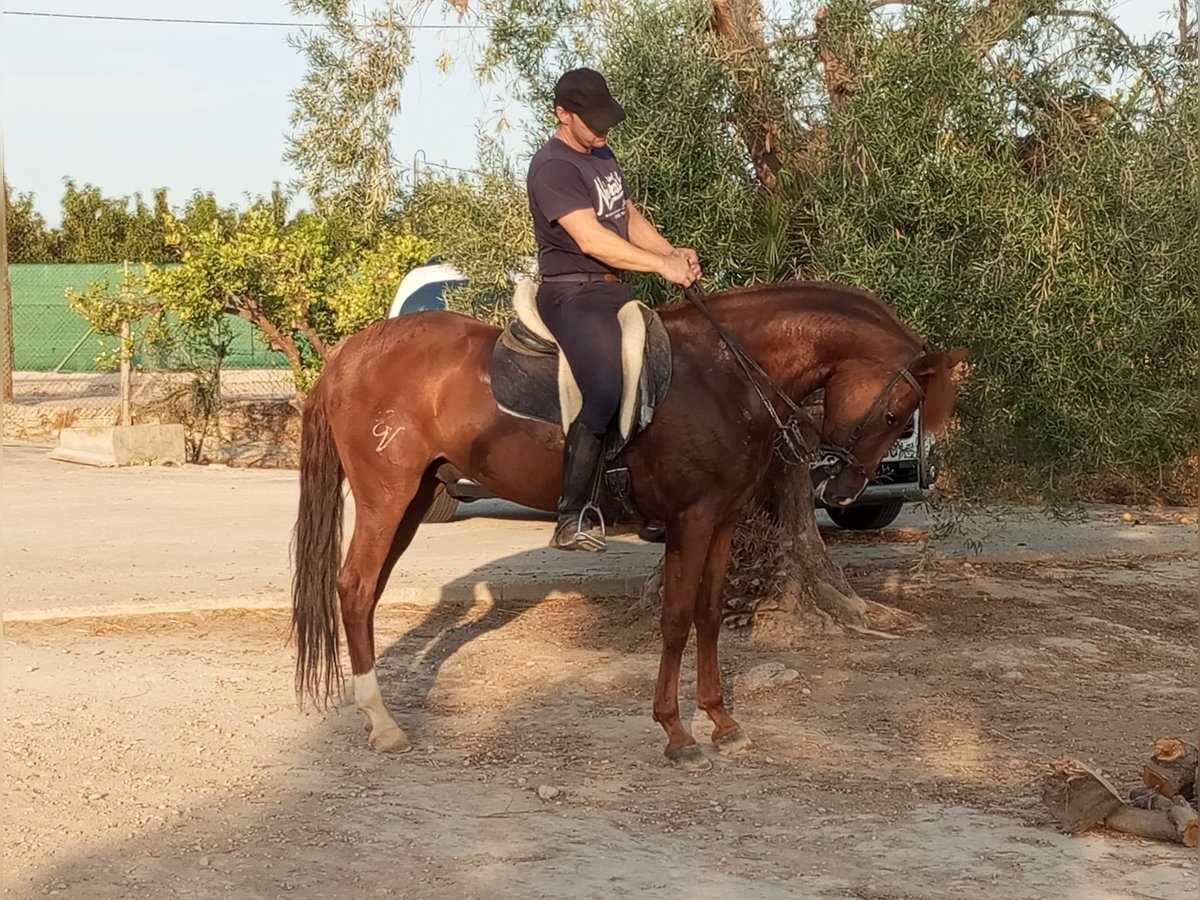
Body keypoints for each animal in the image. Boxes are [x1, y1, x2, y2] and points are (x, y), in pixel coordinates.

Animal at [290, 280, 964, 768]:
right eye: (897, 410)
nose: (845, 491)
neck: (724, 374)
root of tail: (348, 354)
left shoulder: (721, 521)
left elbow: (710, 615)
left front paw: (722, 721)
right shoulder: (690, 520)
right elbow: (675, 619)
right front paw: (676, 733)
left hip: (412, 498)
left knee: (366, 593)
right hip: (387, 497)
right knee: (354, 588)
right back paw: (383, 724)